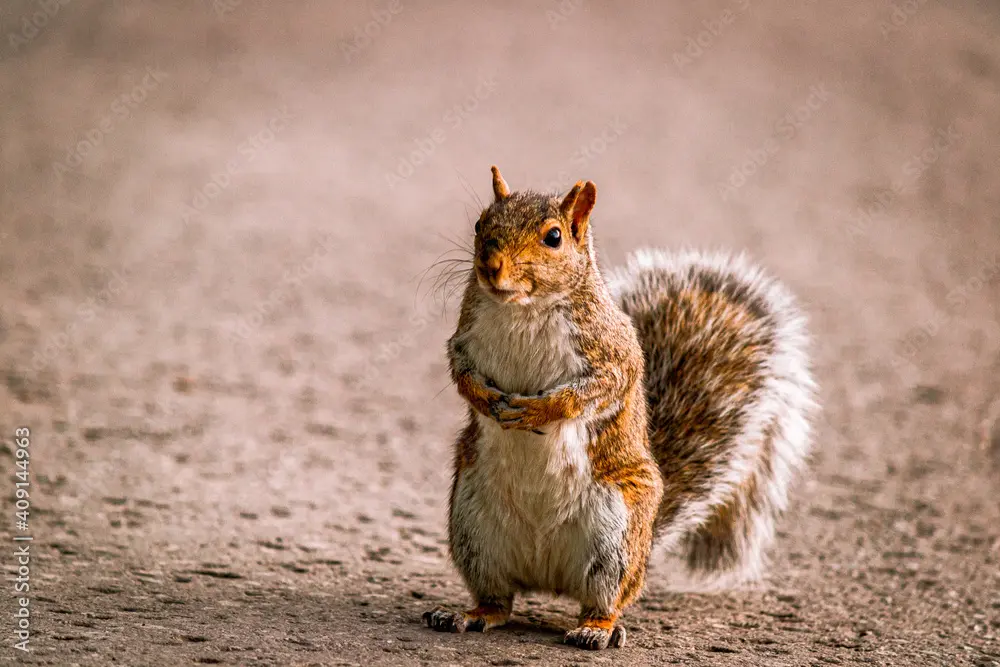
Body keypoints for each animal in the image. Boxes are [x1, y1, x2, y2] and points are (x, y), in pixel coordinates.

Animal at [422, 166, 816, 650]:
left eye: (554, 237)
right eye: (480, 224)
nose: (489, 267)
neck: (522, 307)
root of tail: (547, 576)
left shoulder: (612, 354)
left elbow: (593, 390)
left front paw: (537, 411)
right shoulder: (463, 338)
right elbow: (460, 372)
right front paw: (485, 398)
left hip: (616, 536)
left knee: (607, 598)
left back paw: (596, 629)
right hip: (474, 529)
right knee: (499, 600)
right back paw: (469, 614)